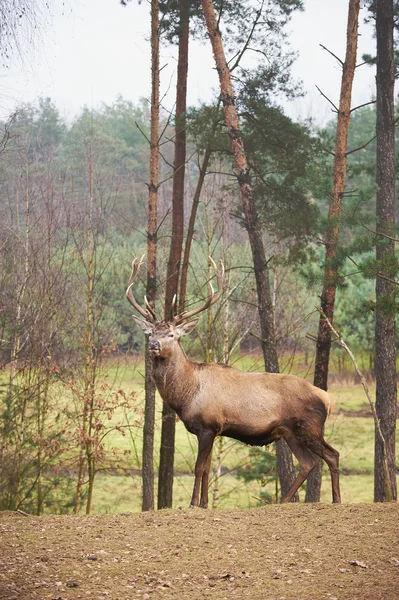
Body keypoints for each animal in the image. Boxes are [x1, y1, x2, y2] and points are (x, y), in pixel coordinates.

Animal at [126, 255, 342, 508]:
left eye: (171, 334)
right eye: (150, 333)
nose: (153, 345)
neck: (187, 395)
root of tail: (327, 398)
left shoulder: (208, 425)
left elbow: (199, 468)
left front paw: (193, 503)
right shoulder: (211, 430)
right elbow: (208, 468)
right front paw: (204, 503)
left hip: (310, 426)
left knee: (332, 455)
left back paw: (336, 500)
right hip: (290, 432)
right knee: (308, 463)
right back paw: (282, 500)